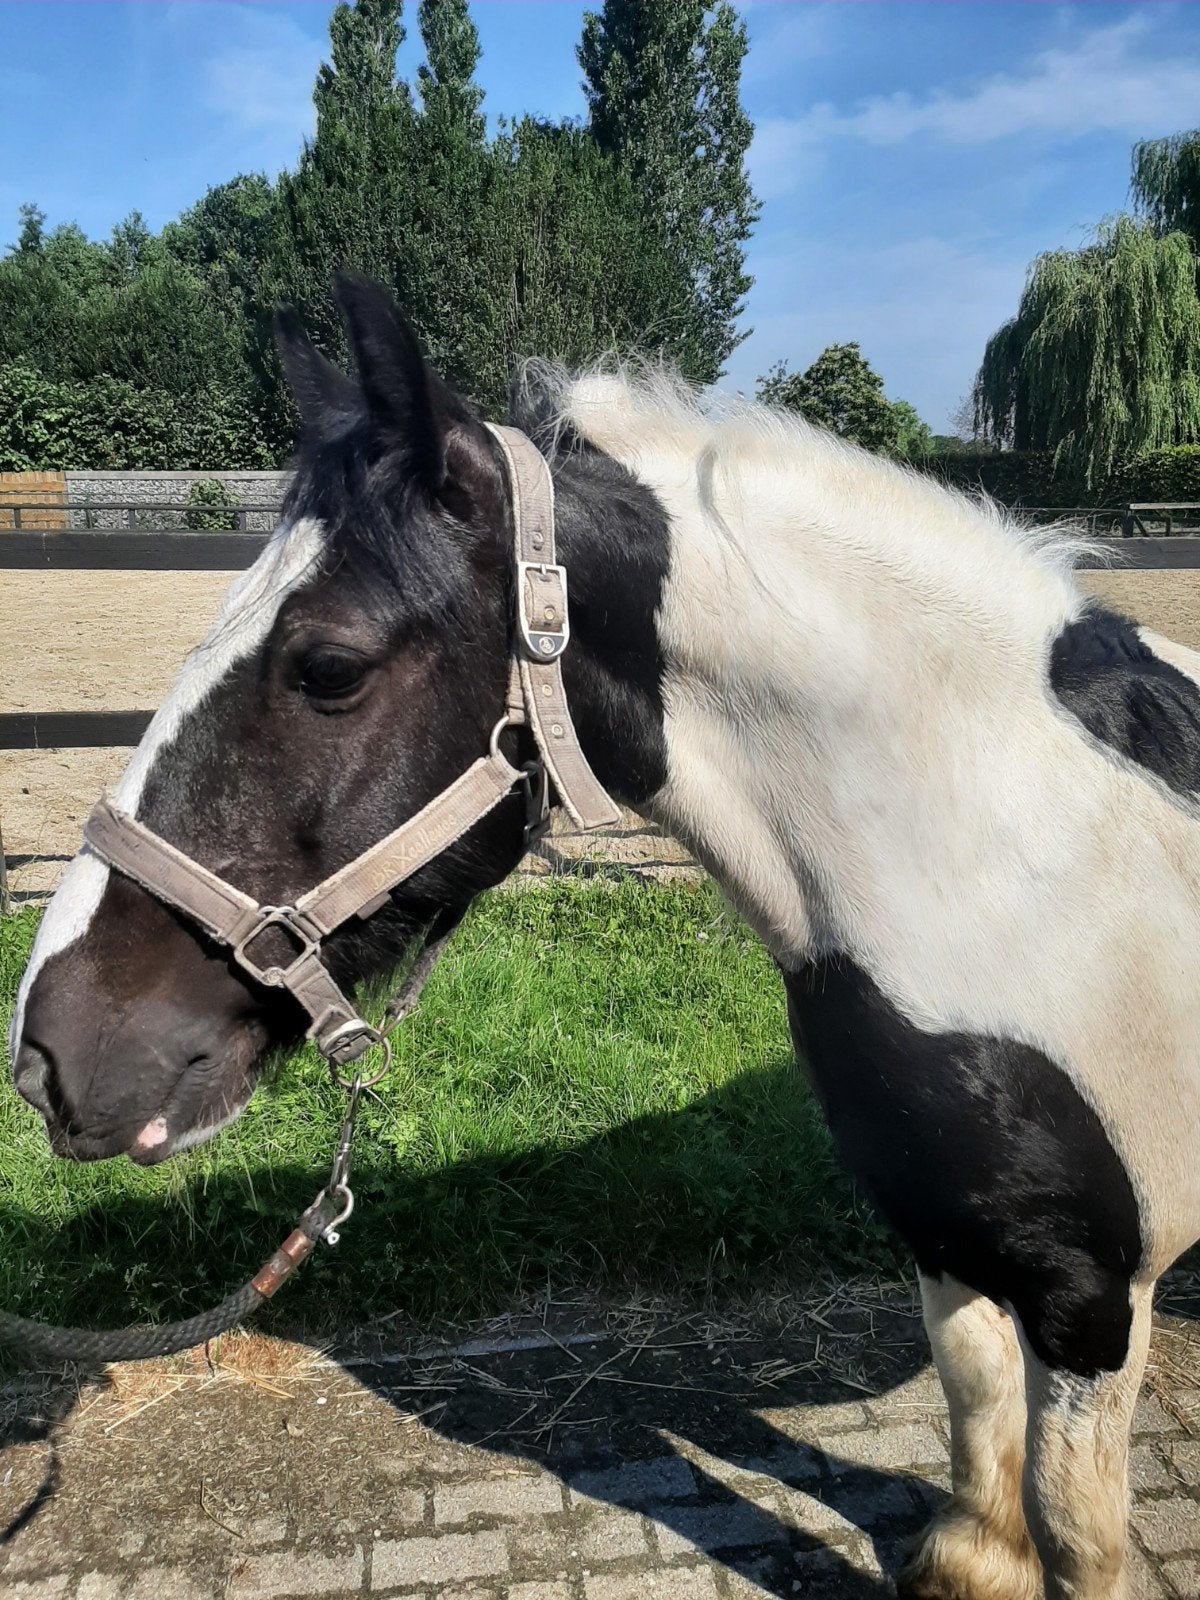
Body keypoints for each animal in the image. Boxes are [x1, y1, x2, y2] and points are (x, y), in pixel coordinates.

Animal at [10, 275, 1200, 1599]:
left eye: (328, 667)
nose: (51, 1054)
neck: (1015, 867)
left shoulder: (1094, 1300)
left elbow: (1077, 1527)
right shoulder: (941, 1234)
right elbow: (977, 1413)